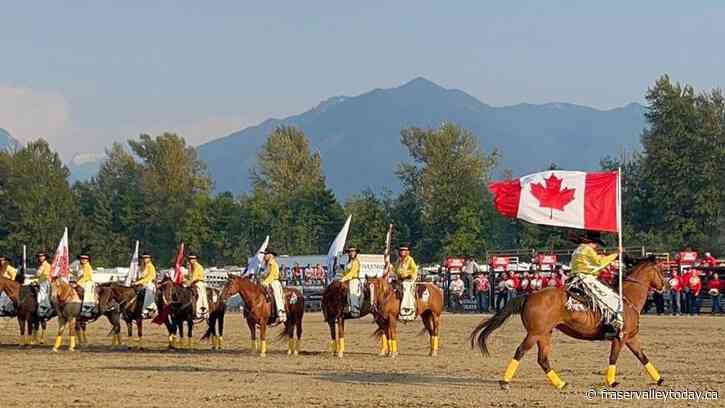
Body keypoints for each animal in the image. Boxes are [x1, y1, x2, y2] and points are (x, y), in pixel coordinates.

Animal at [470, 258, 668, 388]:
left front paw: (659, 379)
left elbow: (642, 357)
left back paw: (560, 383)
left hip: (544, 334)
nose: (665, 285)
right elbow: (613, 358)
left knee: (543, 359)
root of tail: (530, 295)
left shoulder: (630, 337)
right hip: (534, 334)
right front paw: (611, 381)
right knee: (520, 352)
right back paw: (505, 382)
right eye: (660, 270)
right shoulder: (620, 337)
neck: (627, 299)